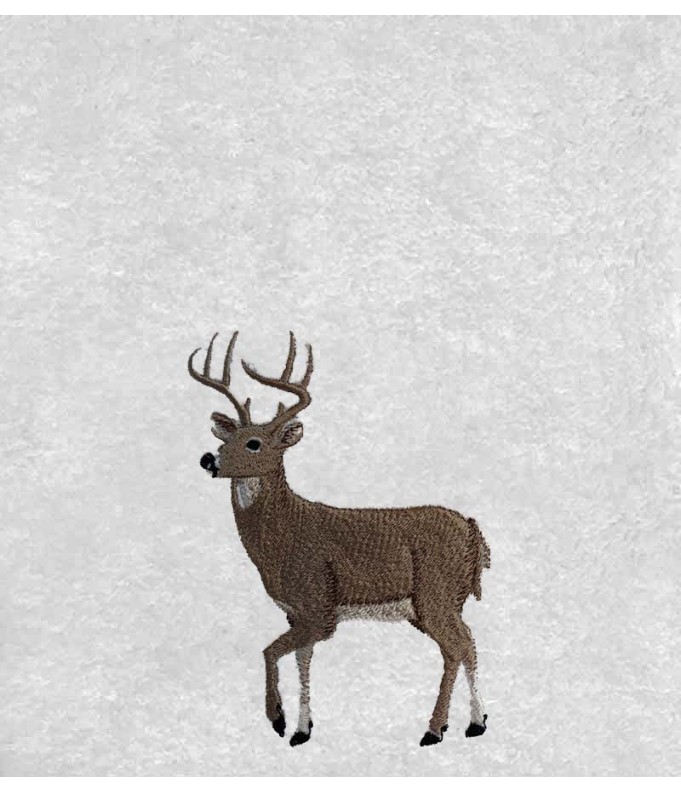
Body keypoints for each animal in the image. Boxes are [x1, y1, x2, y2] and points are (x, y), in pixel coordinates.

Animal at [188, 331, 491, 747]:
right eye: (225, 439)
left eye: (254, 443)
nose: (208, 459)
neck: (285, 536)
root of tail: (472, 529)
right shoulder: (296, 610)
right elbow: (302, 660)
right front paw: (302, 729)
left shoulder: (319, 604)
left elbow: (269, 651)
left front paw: (278, 719)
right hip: (433, 604)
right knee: (463, 644)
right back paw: (468, 723)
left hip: (436, 593)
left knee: (460, 645)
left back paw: (442, 728)